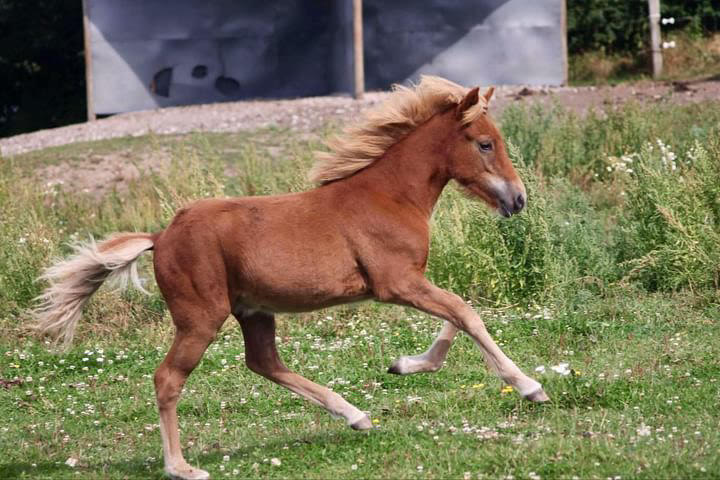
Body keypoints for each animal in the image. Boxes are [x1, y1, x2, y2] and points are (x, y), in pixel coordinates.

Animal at [31, 76, 548, 480]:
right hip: (201, 318)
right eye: (485, 143)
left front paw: (405, 364)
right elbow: (465, 312)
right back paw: (181, 466)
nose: (518, 199)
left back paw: (355, 415)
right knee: (168, 378)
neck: (390, 196)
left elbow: (456, 316)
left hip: (254, 312)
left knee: (263, 363)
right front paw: (529, 386)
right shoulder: (396, 283)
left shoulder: (410, 283)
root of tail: (161, 235)